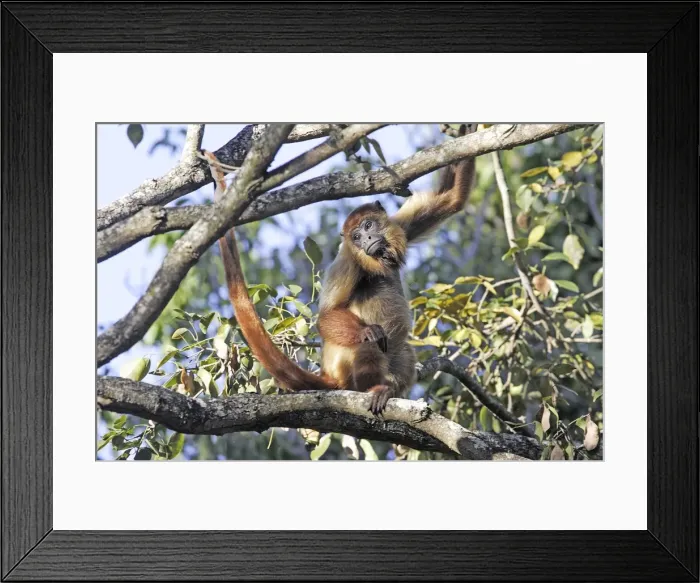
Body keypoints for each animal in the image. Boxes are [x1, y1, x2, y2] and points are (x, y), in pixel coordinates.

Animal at [202, 134, 475, 415]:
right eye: (356, 237)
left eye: (368, 225)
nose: (366, 239)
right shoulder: (347, 262)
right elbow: (326, 317)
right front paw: (368, 331)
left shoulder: (400, 227)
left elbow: (451, 198)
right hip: (344, 370)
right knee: (368, 346)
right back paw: (373, 387)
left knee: (403, 350)